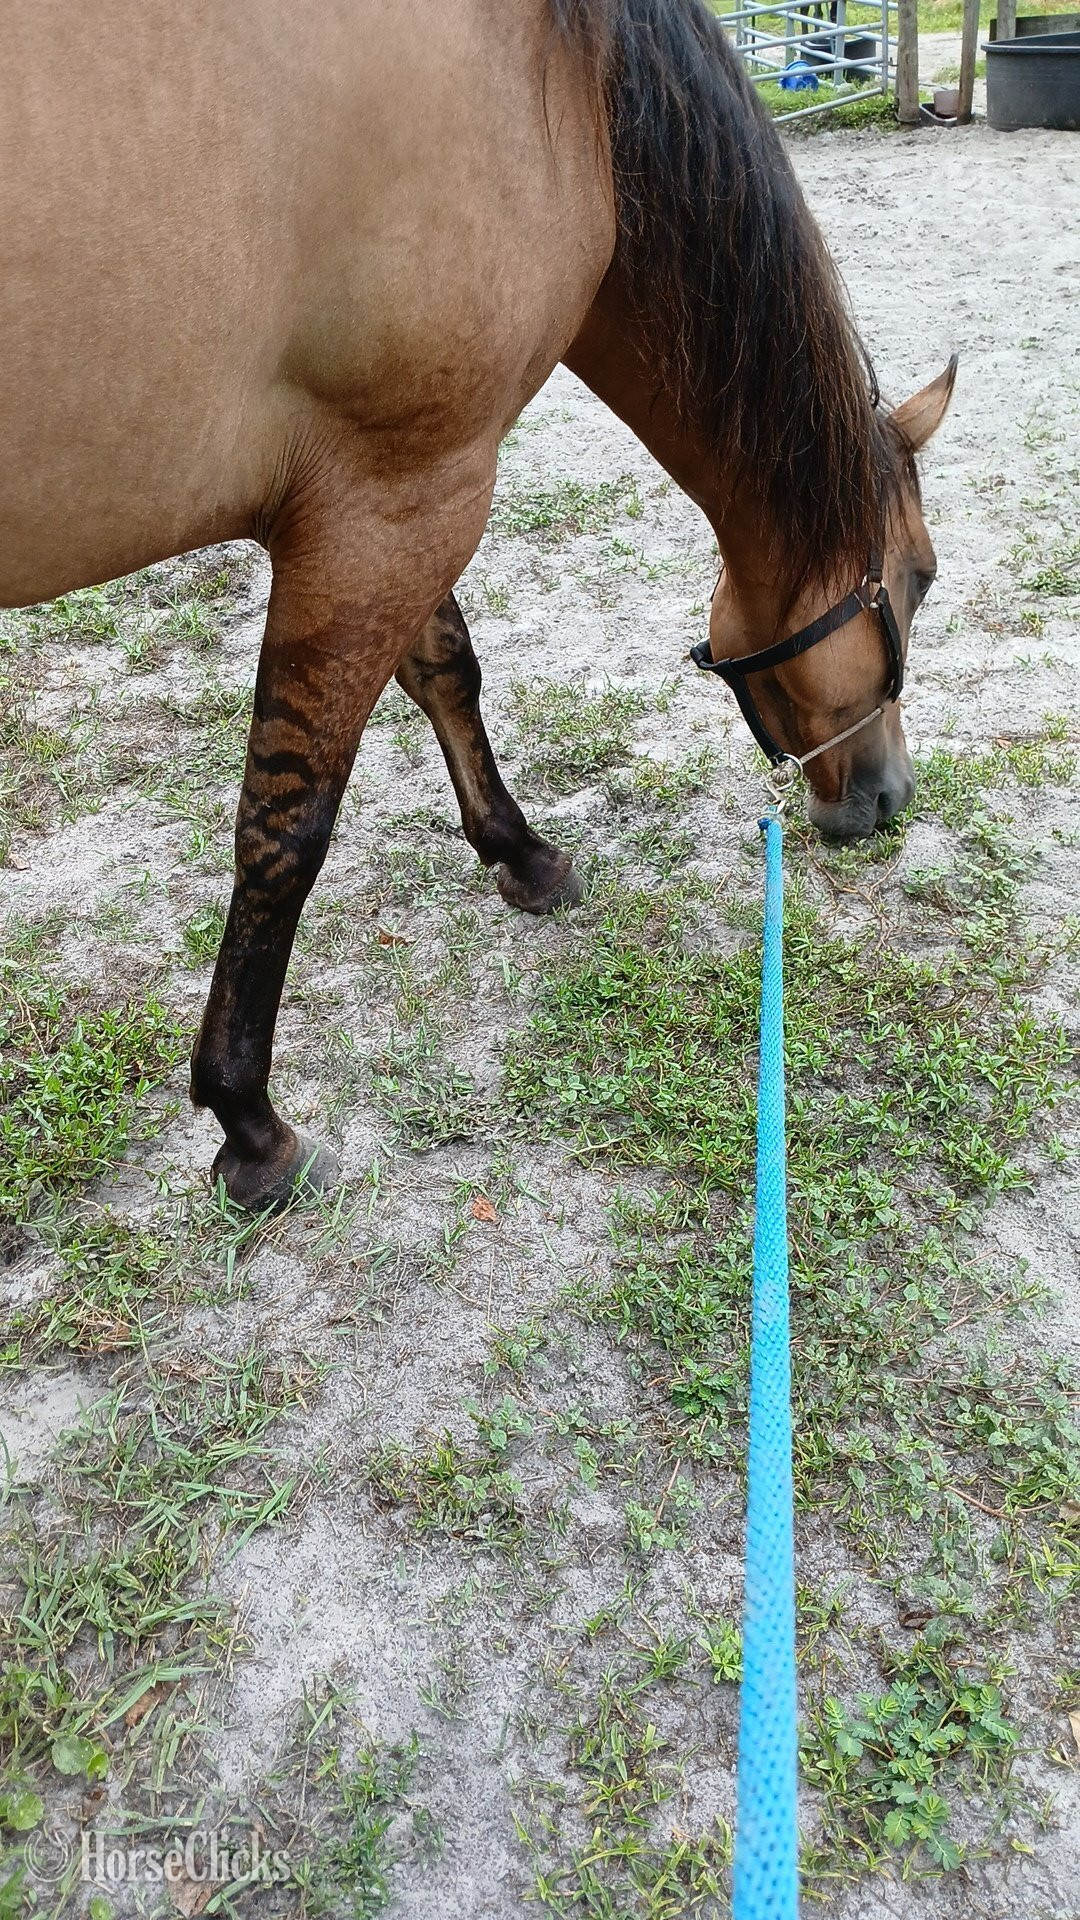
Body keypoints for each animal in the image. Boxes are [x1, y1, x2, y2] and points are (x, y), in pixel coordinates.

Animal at [2, 0, 955, 1211]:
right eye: (919, 577)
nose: (888, 798)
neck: (569, 90)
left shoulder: (402, 489)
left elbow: (446, 670)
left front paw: (522, 853)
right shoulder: (395, 504)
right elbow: (287, 821)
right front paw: (248, 1120)